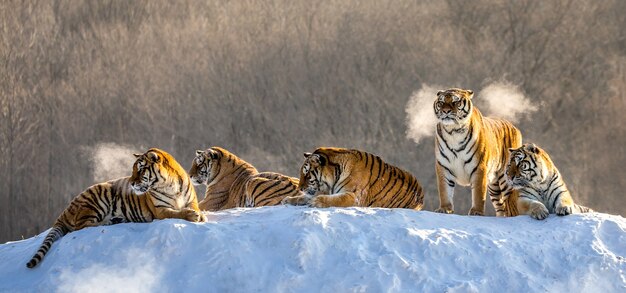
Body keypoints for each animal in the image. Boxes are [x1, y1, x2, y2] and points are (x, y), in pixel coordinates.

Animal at [26, 147, 204, 268]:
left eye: (140, 170)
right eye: (133, 170)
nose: (131, 183)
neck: (170, 185)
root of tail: (64, 211)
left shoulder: (191, 201)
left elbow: (193, 207)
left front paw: (199, 214)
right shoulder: (160, 210)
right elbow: (176, 213)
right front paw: (193, 216)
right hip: (97, 197)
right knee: (81, 226)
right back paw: (111, 222)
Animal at [282, 147, 424, 209]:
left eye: (307, 174)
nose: (300, 188)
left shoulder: (355, 196)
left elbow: (336, 199)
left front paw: (316, 201)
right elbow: (304, 197)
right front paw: (288, 199)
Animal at [428, 86, 520, 214]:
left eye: (455, 102)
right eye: (441, 103)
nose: (445, 111)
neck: (453, 131)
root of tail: (515, 127)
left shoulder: (479, 167)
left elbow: (478, 193)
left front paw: (477, 212)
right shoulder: (443, 166)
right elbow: (444, 190)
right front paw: (444, 209)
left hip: (506, 179)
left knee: (510, 201)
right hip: (494, 187)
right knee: (501, 207)